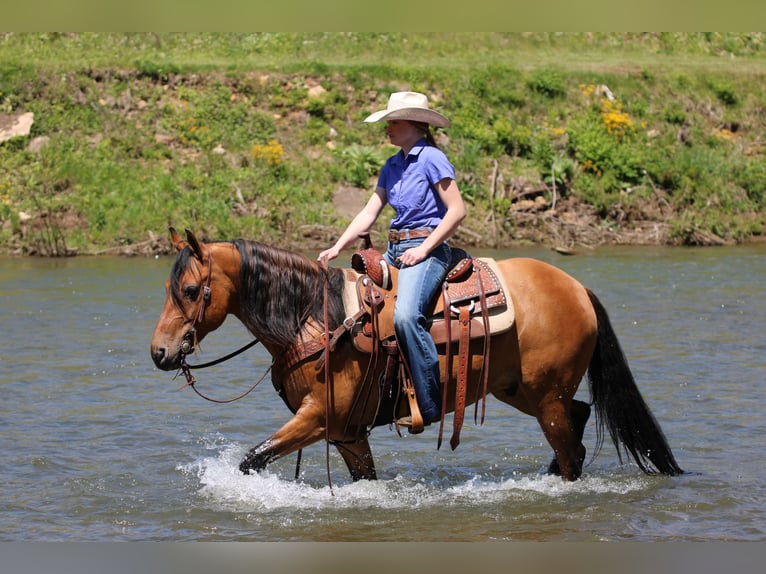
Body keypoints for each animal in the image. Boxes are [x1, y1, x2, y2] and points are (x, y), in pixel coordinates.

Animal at [150, 228, 683, 482]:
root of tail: (576, 287)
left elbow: (252, 460)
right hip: (521, 390)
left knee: (571, 447)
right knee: (580, 416)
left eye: (192, 290)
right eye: (168, 287)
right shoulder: (347, 433)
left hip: (544, 396)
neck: (314, 319)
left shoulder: (318, 418)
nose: (160, 352)